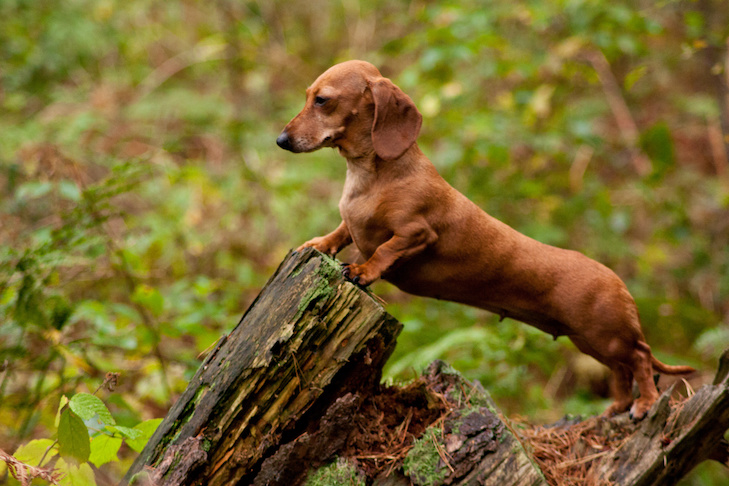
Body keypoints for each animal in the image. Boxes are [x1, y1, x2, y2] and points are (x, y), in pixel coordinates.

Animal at [274, 59, 692, 418]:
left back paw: (644, 404)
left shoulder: (416, 232)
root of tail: (619, 283)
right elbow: (342, 232)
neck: (371, 176)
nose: (280, 140)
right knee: (623, 370)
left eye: (323, 100)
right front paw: (318, 245)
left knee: (641, 358)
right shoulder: (354, 224)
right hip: (590, 341)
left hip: (608, 336)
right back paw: (618, 406)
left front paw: (363, 271)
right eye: (308, 95)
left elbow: (384, 249)